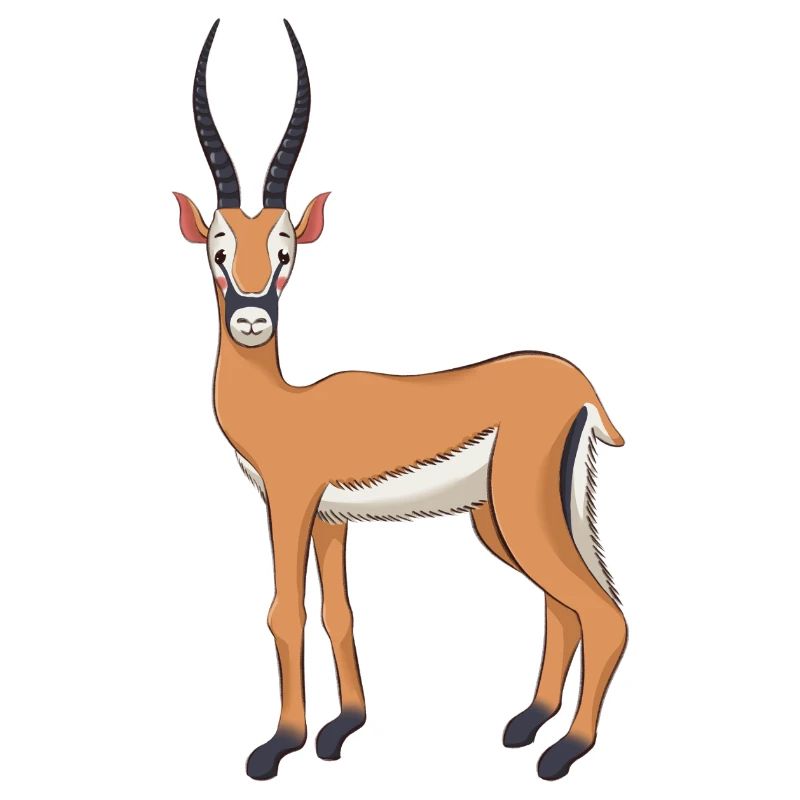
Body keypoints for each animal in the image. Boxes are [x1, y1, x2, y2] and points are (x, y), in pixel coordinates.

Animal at [175, 19, 628, 783]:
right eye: (217, 247)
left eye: (286, 249)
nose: (251, 320)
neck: (286, 405)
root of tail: (581, 387)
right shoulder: (331, 519)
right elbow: (340, 612)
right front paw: (340, 731)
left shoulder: (290, 503)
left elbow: (285, 611)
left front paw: (277, 747)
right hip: (503, 520)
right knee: (562, 608)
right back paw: (527, 723)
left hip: (519, 515)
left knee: (599, 613)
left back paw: (563, 752)